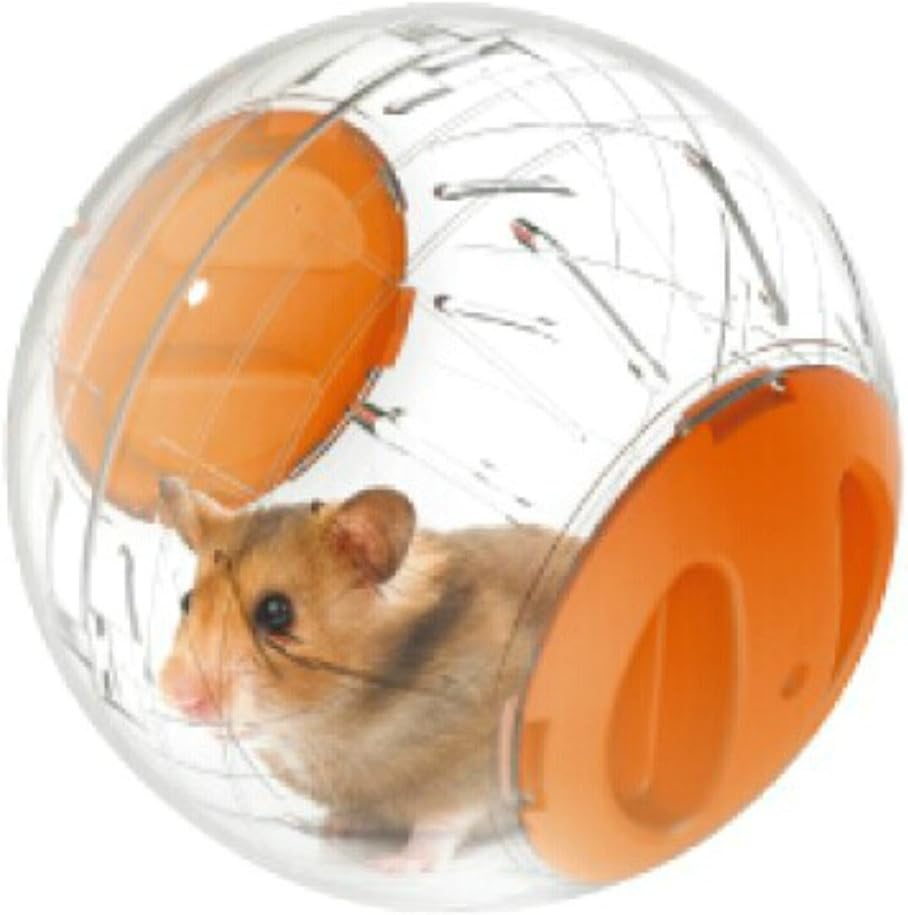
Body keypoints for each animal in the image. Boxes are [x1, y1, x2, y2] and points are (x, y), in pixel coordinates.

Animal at [157, 478, 577, 872]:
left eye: (276, 612)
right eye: (186, 601)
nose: (177, 696)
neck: (328, 723)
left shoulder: (473, 774)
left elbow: (440, 825)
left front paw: (393, 866)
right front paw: (332, 827)